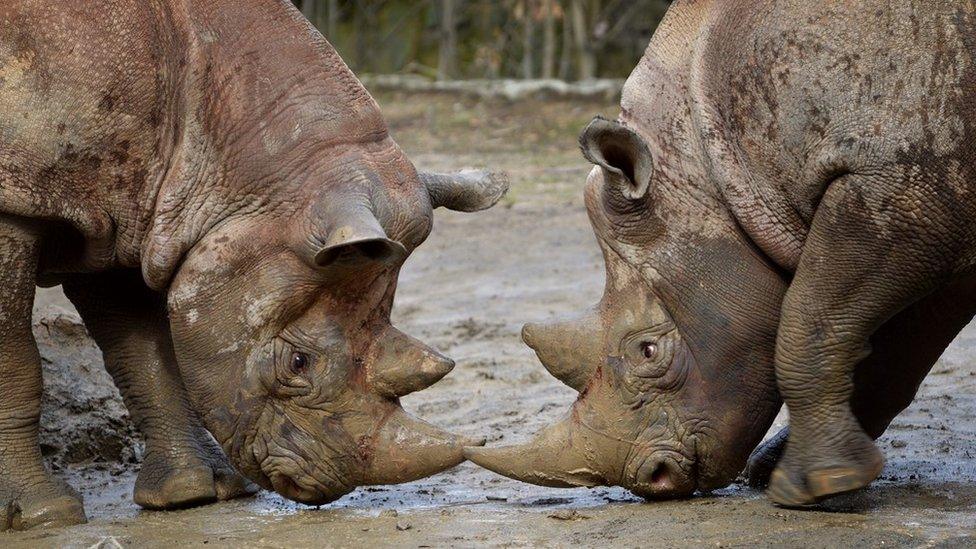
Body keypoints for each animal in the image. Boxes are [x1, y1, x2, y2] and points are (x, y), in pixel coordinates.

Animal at [0, 0, 508, 532]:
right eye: (298, 362)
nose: (324, 484)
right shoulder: (23, 196)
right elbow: (15, 359)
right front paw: (44, 515)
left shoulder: (126, 202)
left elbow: (144, 352)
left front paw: (191, 493)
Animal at [466, 0, 976, 506]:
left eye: (648, 351)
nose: (651, 479)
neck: (713, 169)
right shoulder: (933, 208)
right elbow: (892, 351)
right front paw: (795, 468)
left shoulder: (899, 188)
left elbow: (807, 321)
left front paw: (816, 484)